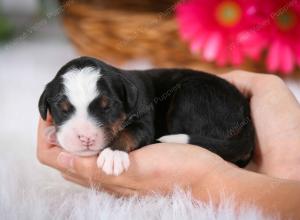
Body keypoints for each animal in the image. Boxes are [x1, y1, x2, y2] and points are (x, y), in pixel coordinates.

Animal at [38, 56, 255, 175]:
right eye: (63, 109)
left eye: (107, 107)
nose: (86, 138)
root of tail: (246, 114)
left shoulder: (143, 122)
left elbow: (129, 133)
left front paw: (113, 154)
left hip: (191, 96)